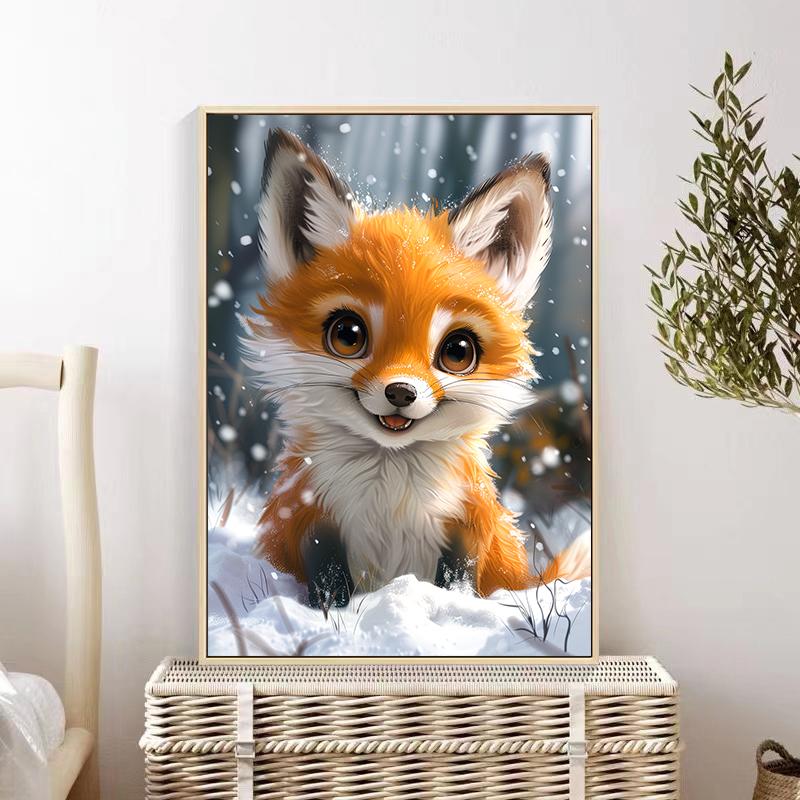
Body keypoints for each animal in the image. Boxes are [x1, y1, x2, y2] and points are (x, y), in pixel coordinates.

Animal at [242, 128, 589, 608]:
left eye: (457, 351)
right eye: (348, 335)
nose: (401, 392)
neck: (390, 493)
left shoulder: (469, 526)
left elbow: (457, 582)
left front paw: (450, 609)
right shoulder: (310, 518)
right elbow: (328, 582)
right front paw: (329, 613)